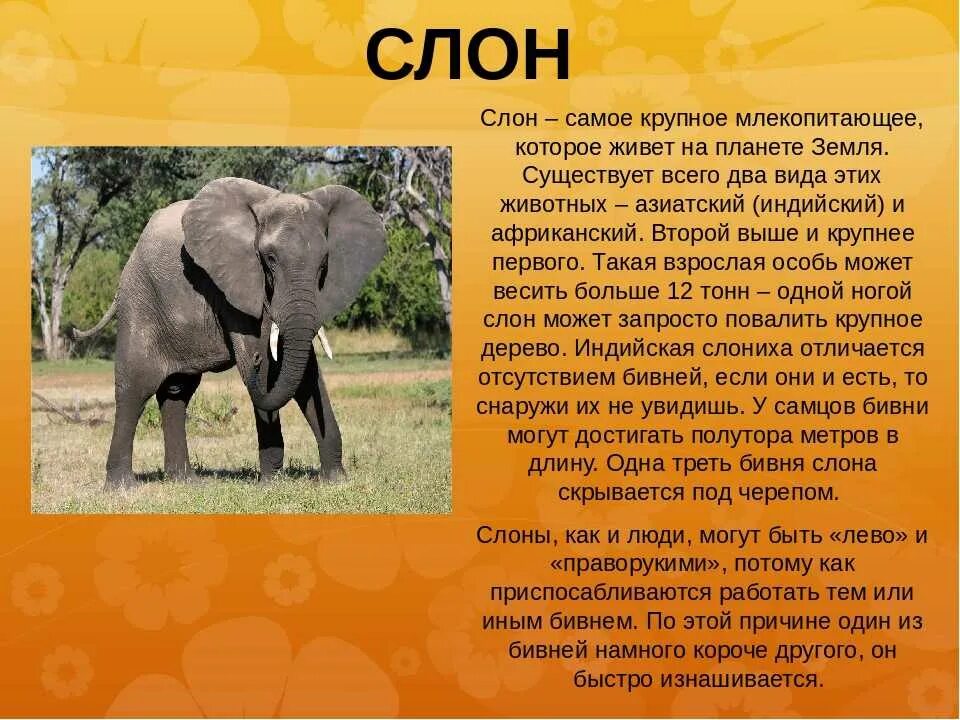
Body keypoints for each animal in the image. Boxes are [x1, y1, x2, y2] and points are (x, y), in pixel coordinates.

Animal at [72, 177, 386, 489]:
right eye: (269, 258)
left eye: (323, 263)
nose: (256, 360)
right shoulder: (233, 287)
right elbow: (270, 367)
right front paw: (271, 484)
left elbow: (306, 372)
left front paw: (335, 480)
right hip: (140, 302)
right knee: (136, 388)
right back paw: (122, 487)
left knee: (176, 393)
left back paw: (187, 482)